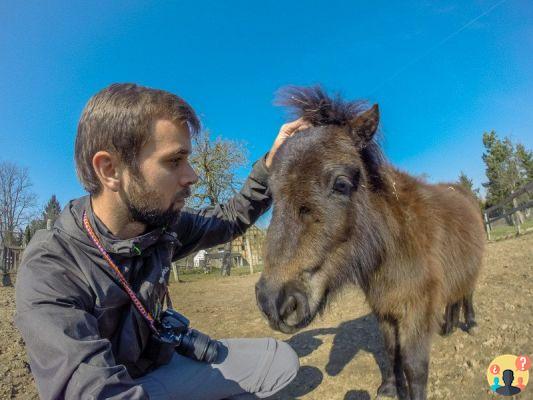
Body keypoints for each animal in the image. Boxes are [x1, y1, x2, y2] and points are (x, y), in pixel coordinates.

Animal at [256, 86, 484, 400]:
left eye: (341, 183)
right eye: (272, 194)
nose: (274, 302)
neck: (393, 246)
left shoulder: (415, 312)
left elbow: (414, 366)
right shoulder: (384, 311)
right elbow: (390, 350)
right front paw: (389, 388)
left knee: (468, 295)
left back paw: (470, 324)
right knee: (454, 298)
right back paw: (448, 327)